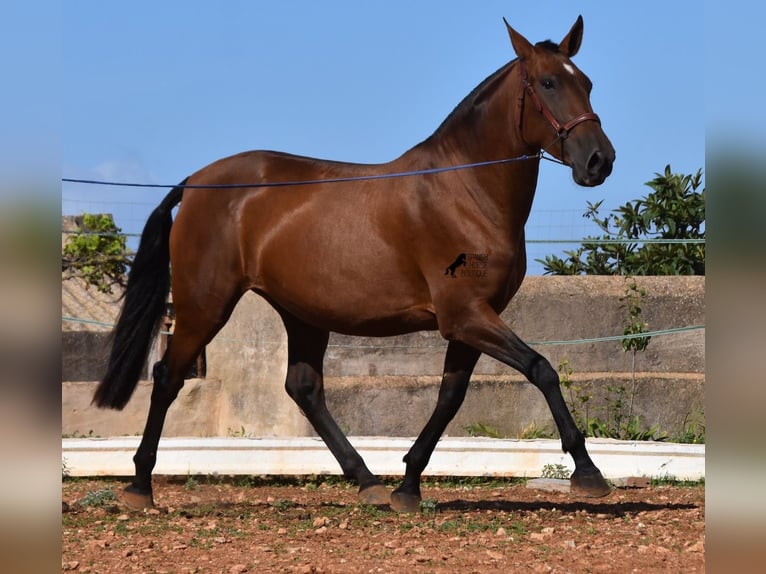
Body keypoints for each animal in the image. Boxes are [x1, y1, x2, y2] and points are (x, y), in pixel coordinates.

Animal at [93, 16, 616, 512]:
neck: (466, 191)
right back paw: (139, 487)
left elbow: (450, 397)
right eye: (548, 83)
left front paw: (408, 484)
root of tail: (196, 183)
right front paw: (589, 473)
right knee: (168, 377)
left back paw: (369, 482)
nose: (600, 160)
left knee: (303, 388)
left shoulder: (472, 320)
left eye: (588, 82)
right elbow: (541, 369)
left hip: (302, 314)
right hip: (206, 305)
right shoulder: (466, 316)